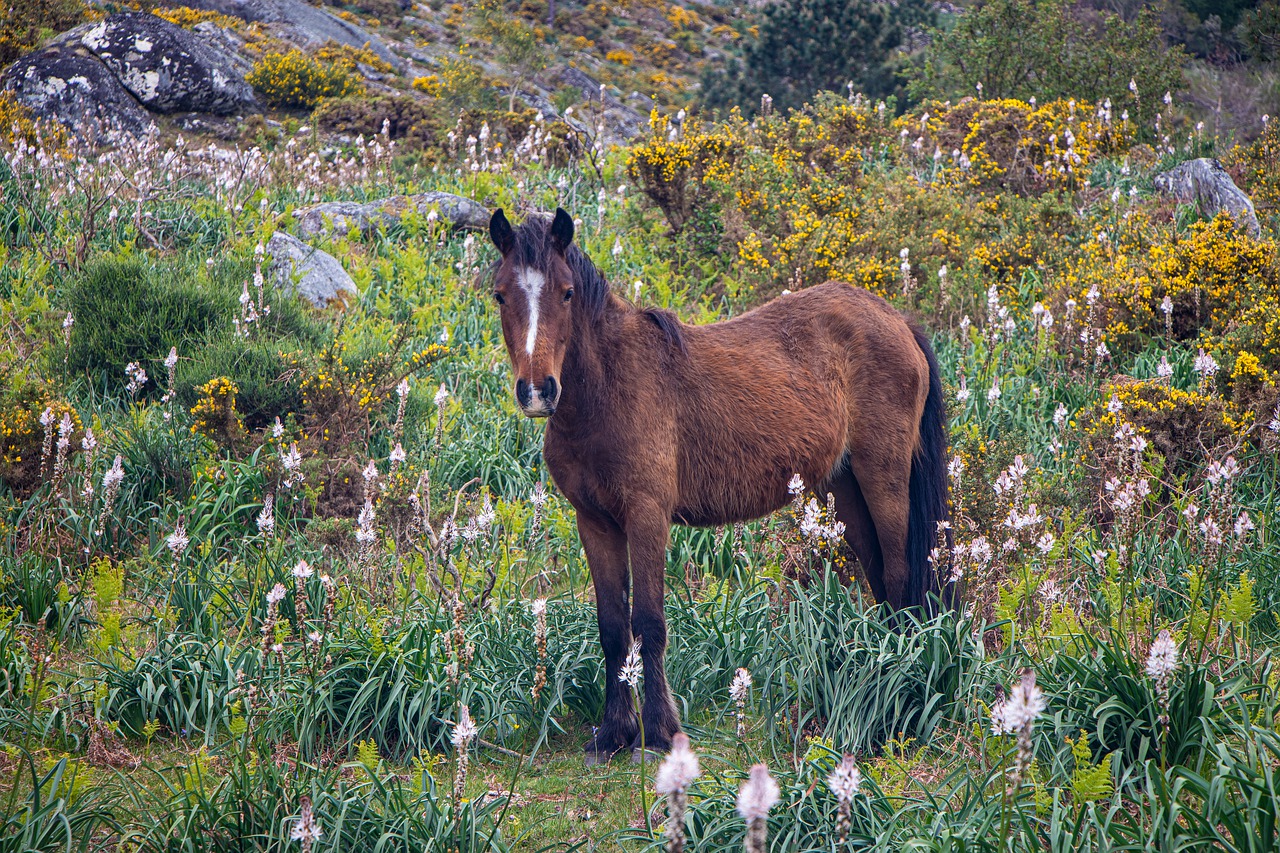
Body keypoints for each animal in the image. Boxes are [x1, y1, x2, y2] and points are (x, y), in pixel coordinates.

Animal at [488, 207, 952, 763]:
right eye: (500, 295)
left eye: (566, 292)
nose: (538, 391)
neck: (608, 389)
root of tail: (897, 319)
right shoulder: (595, 523)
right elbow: (613, 629)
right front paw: (613, 734)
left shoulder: (647, 516)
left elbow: (649, 623)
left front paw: (659, 734)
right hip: (844, 490)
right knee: (881, 577)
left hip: (882, 476)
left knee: (902, 575)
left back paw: (902, 679)